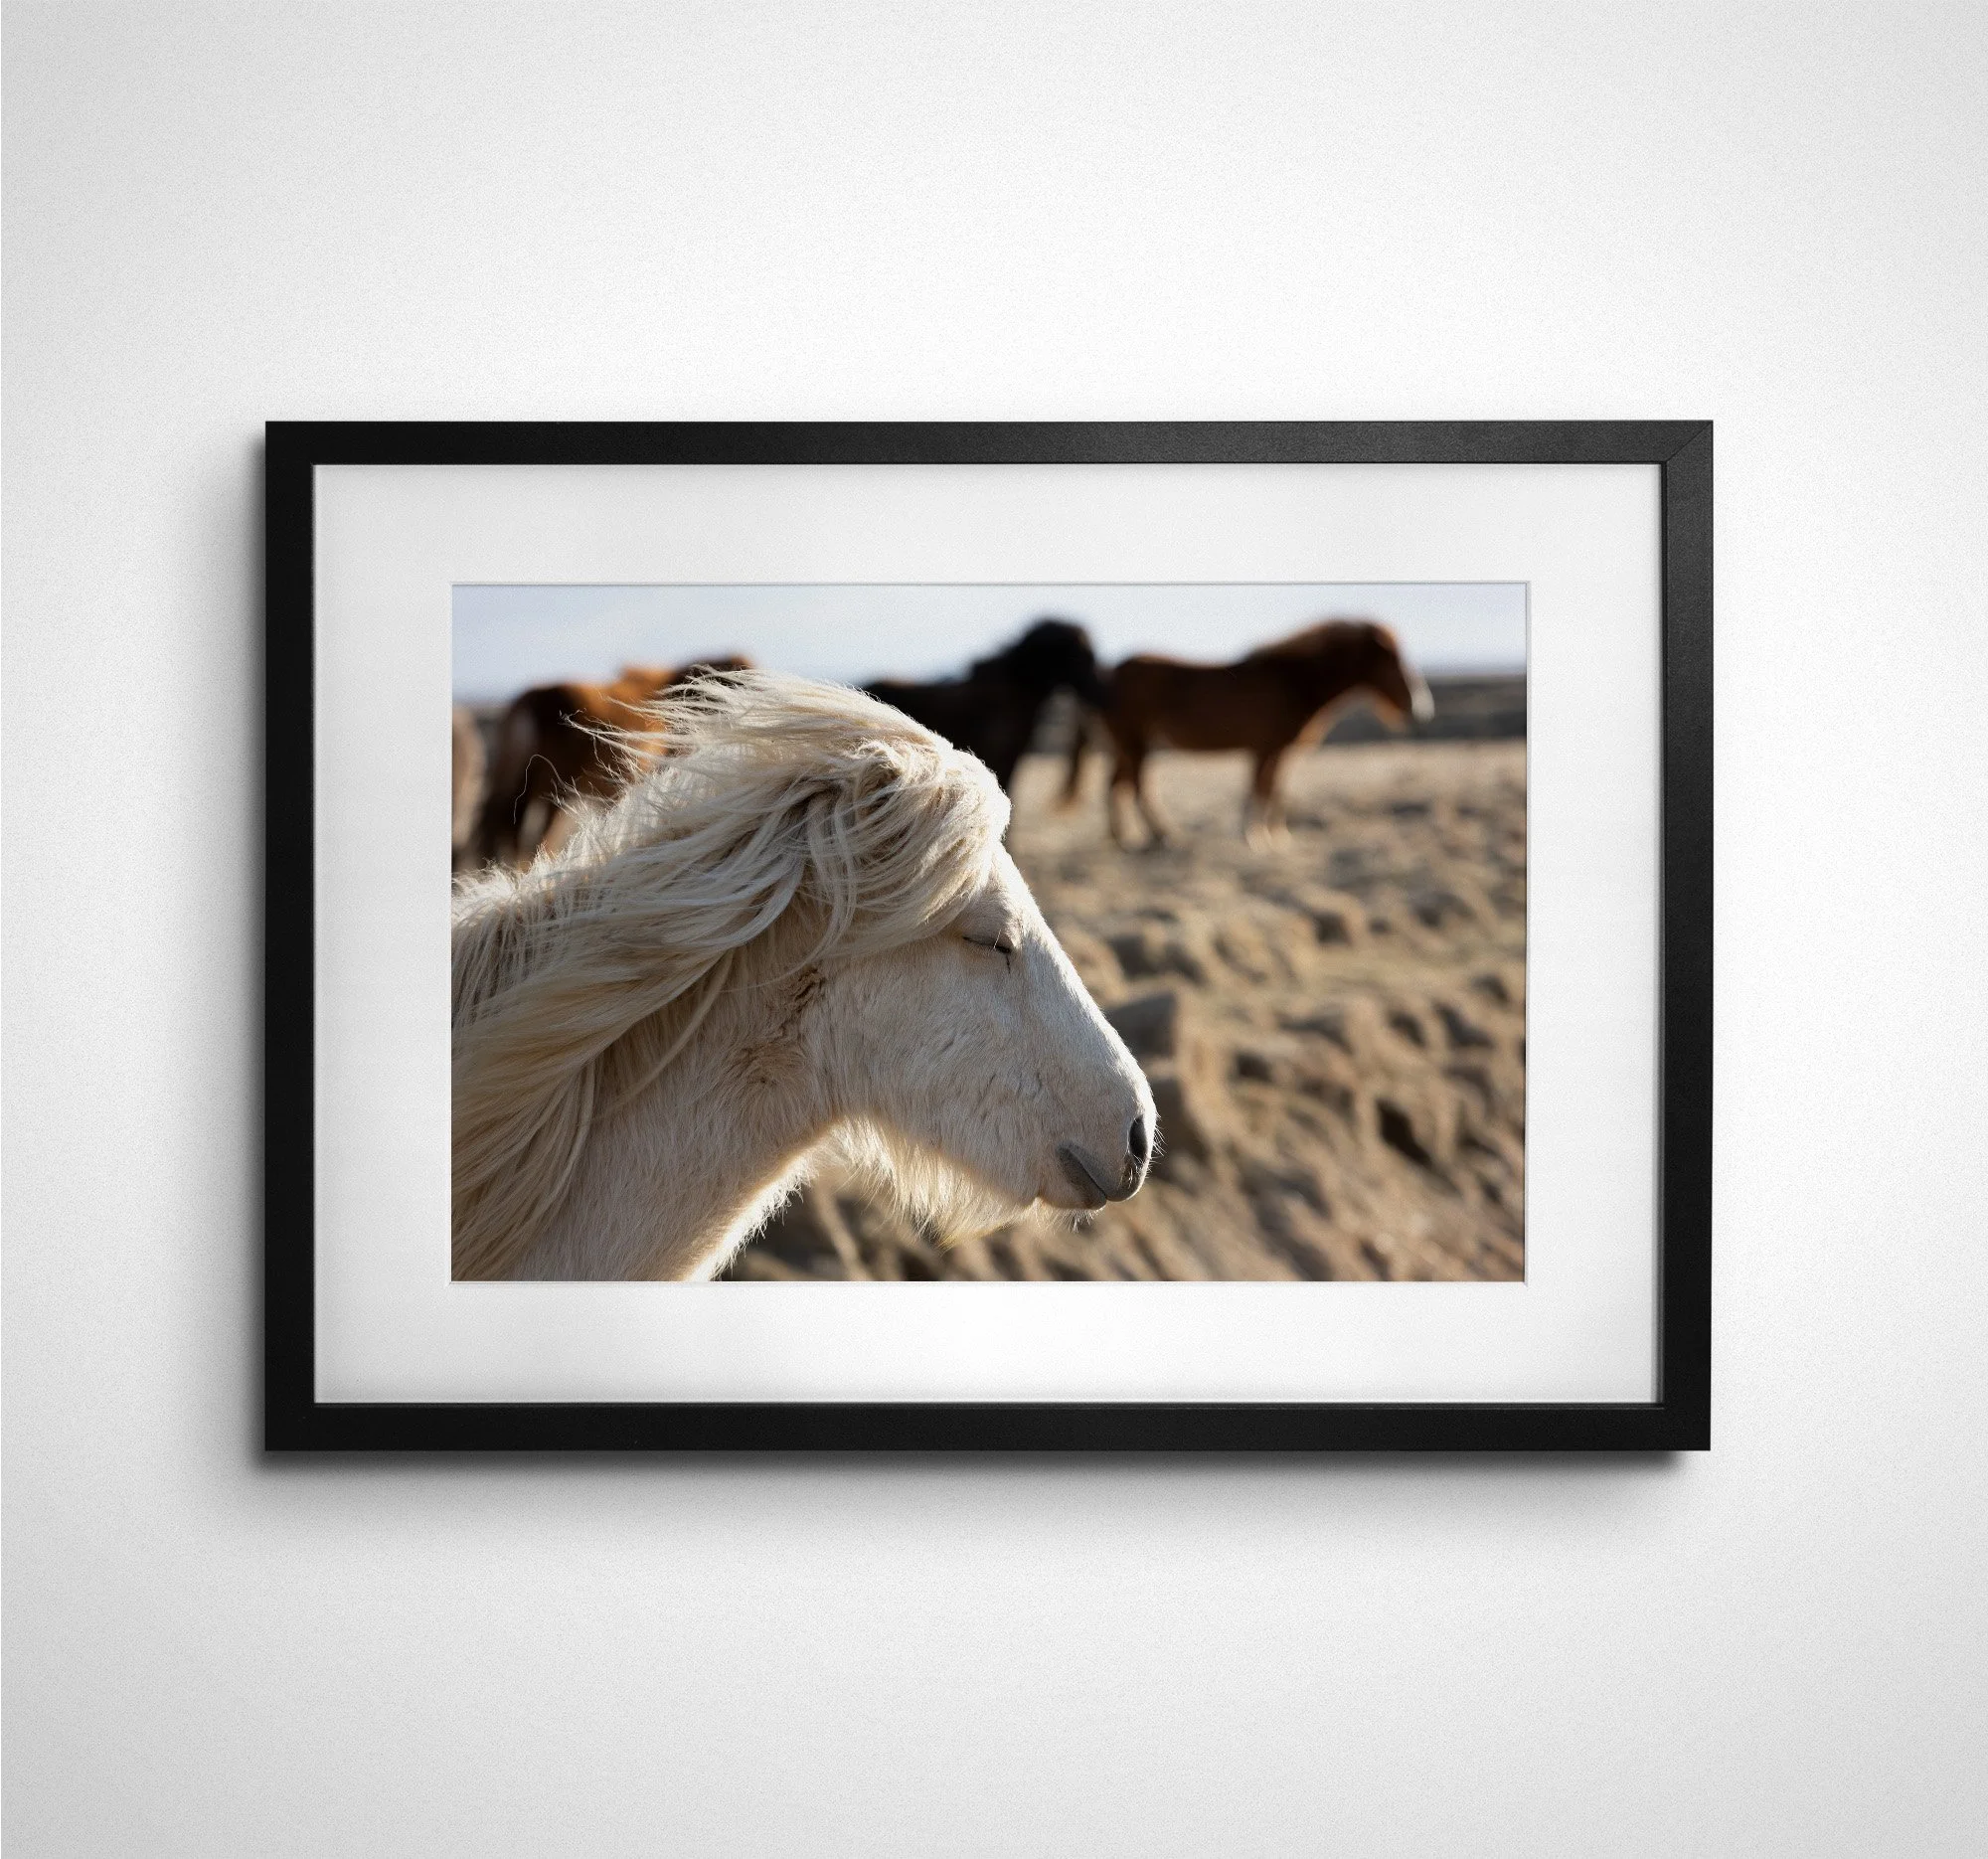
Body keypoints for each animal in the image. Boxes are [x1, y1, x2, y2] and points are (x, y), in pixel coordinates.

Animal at [1064, 619, 1434, 846]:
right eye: (1394, 661)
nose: (1421, 708)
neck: (1292, 680)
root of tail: (1105, 676)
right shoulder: (1267, 748)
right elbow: (1260, 789)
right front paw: (1253, 837)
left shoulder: (1276, 751)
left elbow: (1272, 790)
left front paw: (1276, 836)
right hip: (1134, 743)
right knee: (1137, 788)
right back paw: (1161, 836)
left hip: (1128, 745)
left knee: (1117, 785)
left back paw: (1123, 838)